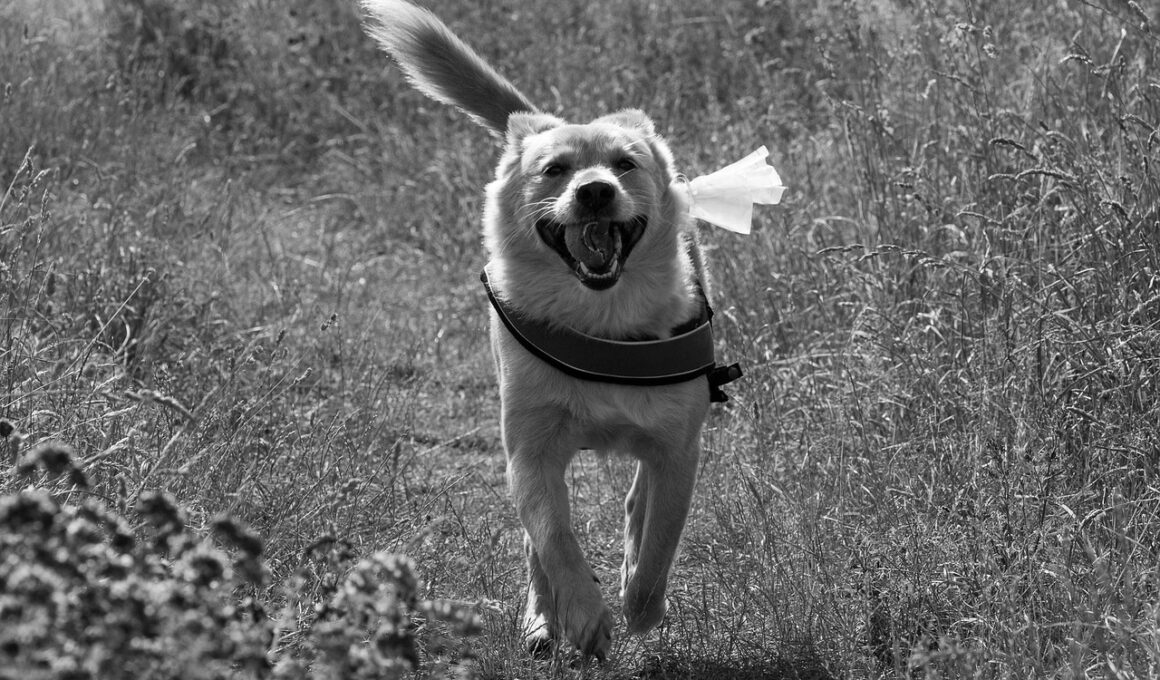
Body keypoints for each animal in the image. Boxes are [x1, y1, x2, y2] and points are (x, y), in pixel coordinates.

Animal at [362, 1, 740, 659]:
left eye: (625, 164)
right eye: (555, 169)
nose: (594, 190)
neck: (602, 324)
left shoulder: (678, 451)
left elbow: (659, 544)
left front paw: (640, 606)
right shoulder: (531, 454)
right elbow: (555, 539)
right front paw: (584, 618)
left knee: (636, 510)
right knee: (537, 544)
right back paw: (543, 619)